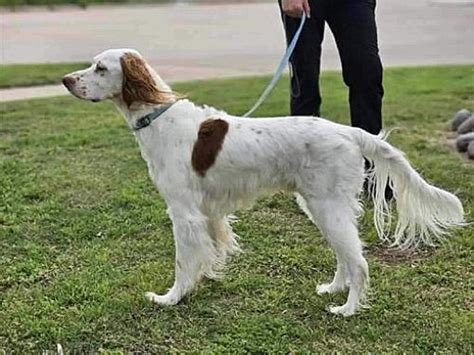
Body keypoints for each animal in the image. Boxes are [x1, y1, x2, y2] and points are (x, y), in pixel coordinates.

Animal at [62, 49, 462, 318]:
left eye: (100, 67)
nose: (65, 80)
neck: (160, 118)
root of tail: (348, 131)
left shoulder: (183, 212)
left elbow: (182, 262)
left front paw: (171, 298)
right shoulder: (208, 212)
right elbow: (210, 251)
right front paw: (207, 278)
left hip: (327, 207)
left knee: (359, 262)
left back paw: (346, 309)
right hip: (321, 207)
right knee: (345, 256)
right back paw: (333, 288)